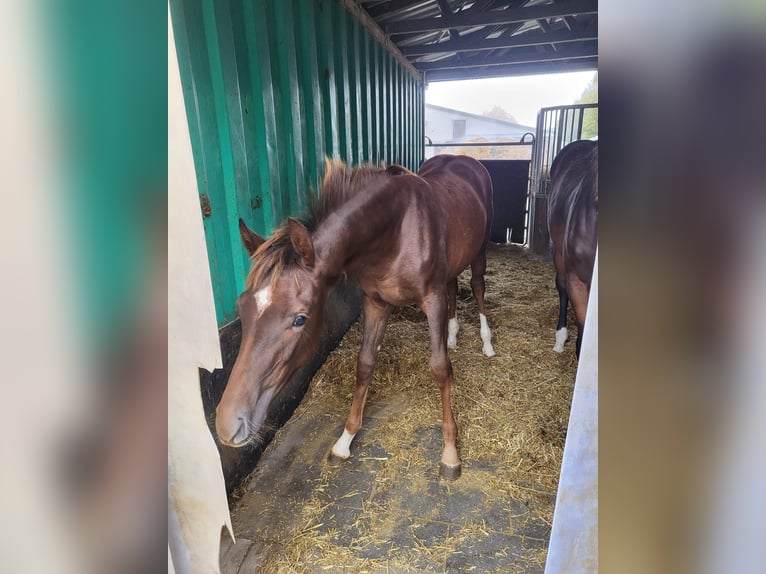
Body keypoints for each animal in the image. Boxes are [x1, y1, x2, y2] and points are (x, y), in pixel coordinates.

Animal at [215, 155, 496, 480]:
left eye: (300, 319)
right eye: (242, 308)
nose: (228, 424)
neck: (397, 231)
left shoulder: (433, 299)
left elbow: (440, 369)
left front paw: (450, 452)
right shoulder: (375, 302)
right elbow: (364, 364)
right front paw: (345, 440)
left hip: (479, 252)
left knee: (477, 287)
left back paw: (487, 343)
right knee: (454, 286)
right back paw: (451, 336)